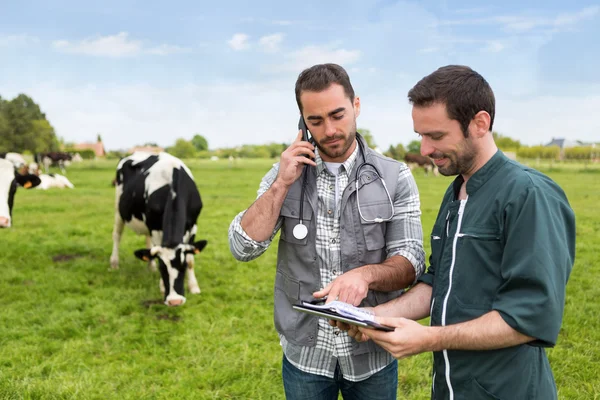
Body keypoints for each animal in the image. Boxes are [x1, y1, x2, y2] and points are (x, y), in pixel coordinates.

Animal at [109, 152, 207, 306]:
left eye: (183, 266)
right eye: (163, 267)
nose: (175, 301)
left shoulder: (193, 225)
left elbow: (191, 259)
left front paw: (194, 287)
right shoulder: (155, 227)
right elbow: (156, 250)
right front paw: (161, 286)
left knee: (147, 241)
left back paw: (150, 266)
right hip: (119, 209)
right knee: (117, 235)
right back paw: (114, 263)